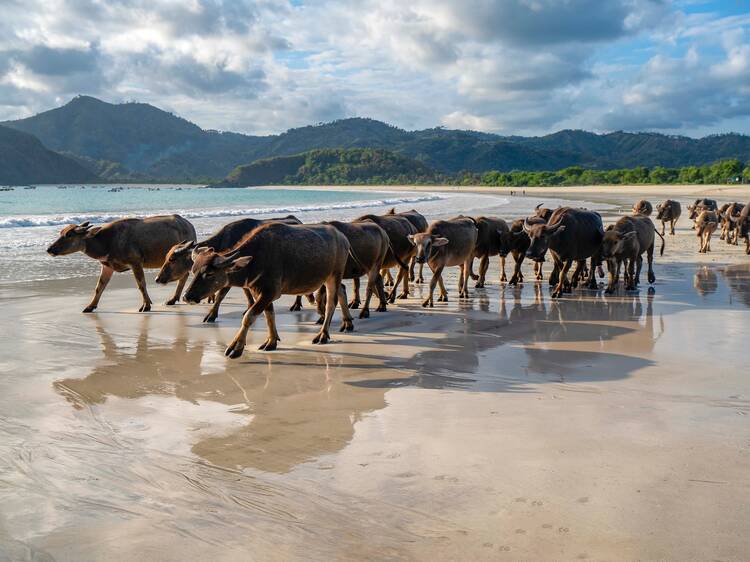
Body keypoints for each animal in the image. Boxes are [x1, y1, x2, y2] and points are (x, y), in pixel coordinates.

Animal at [45, 213, 195, 310]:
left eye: (69, 235)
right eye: (61, 232)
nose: (49, 249)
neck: (107, 242)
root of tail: (189, 225)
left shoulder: (135, 263)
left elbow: (141, 284)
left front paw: (146, 306)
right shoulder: (107, 266)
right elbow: (99, 287)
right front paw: (90, 306)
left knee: (184, 275)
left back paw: (172, 299)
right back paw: (173, 299)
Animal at [184, 221, 356, 356]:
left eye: (209, 273)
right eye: (193, 270)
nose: (187, 296)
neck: (256, 259)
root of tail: (343, 238)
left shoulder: (269, 292)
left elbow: (248, 316)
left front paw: (236, 347)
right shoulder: (260, 292)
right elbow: (269, 316)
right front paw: (271, 341)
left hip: (334, 275)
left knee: (331, 303)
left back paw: (323, 335)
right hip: (329, 277)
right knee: (342, 291)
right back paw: (348, 323)